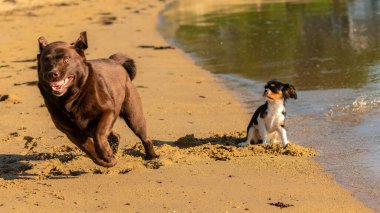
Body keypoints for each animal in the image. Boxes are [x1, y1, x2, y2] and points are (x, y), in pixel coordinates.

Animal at [36, 32, 158, 168]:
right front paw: (107, 160)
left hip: (133, 116)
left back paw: (151, 156)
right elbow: (89, 149)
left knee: (144, 137)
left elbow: (98, 134)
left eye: (66, 60)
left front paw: (106, 154)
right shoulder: (72, 132)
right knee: (115, 135)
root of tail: (115, 61)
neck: (71, 99)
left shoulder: (108, 112)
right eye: (46, 60)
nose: (52, 74)